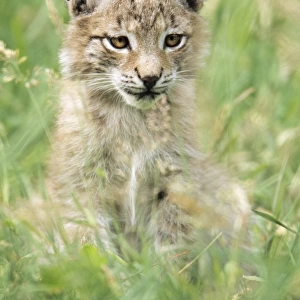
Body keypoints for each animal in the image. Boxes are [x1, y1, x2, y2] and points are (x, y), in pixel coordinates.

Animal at [47, 0, 251, 252]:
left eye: (172, 40)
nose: (150, 78)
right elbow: (88, 241)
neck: (134, 116)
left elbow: (173, 241)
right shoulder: (83, 182)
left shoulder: (175, 178)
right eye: (119, 41)